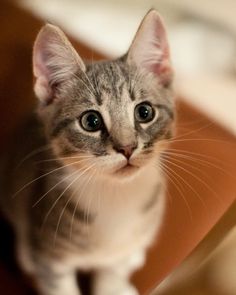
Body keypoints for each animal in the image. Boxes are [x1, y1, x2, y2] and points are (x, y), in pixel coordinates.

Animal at [0, 9, 173, 295]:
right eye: (91, 121)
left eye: (144, 112)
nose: (127, 147)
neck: (117, 196)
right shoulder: (49, 256)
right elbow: (59, 285)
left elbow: (113, 271)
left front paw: (113, 284)